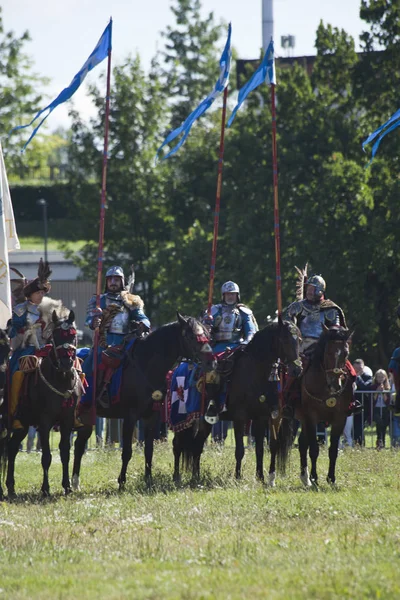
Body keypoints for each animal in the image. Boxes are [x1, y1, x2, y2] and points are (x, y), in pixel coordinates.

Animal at [6, 310, 80, 496]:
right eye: (55, 335)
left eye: (73, 335)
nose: (67, 362)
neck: (61, 379)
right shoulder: (45, 423)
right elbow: (46, 456)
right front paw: (45, 489)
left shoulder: (67, 421)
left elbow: (65, 452)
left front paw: (67, 486)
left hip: (23, 424)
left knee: (12, 448)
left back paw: (11, 487)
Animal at [72, 312, 216, 490]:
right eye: (190, 336)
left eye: (207, 335)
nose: (212, 362)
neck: (146, 366)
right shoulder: (130, 417)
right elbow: (127, 451)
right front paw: (122, 482)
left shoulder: (152, 417)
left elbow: (149, 450)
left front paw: (149, 480)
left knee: (79, 445)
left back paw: (75, 483)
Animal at [173, 316, 304, 486]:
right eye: (285, 339)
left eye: (299, 340)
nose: (297, 370)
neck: (255, 371)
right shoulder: (240, 418)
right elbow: (240, 450)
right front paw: (237, 477)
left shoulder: (261, 418)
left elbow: (260, 450)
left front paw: (260, 478)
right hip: (182, 418)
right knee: (178, 444)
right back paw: (177, 476)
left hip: (204, 421)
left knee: (197, 445)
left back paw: (196, 477)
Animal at [296, 324, 354, 488]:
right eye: (328, 352)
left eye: (346, 353)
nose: (335, 385)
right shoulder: (311, 417)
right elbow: (314, 449)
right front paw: (315, 478)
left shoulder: (340, 418)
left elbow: (333, 450)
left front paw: (331, 479)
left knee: (302, 443)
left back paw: (305, 478)